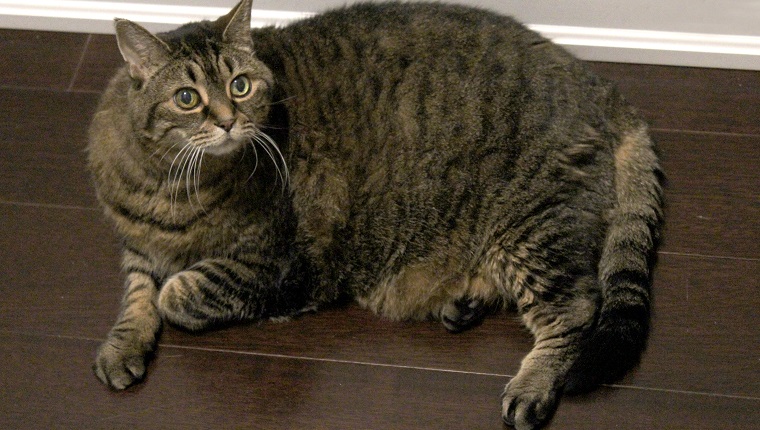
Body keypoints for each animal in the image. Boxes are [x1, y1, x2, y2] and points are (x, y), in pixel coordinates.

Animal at [87, 1, 660, 428]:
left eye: (240, 86)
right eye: (187, 98)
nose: (228, 121)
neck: (171, 185)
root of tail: (601, 86)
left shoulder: (278, 260)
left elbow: (177, 292)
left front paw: (265, 307)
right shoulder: (136, 242)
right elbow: (137, 292)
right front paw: (122, 346)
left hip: (530, 222)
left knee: (576, 308)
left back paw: (531, 385)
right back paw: (464, 302)